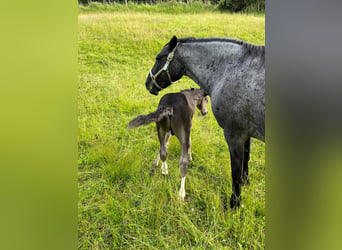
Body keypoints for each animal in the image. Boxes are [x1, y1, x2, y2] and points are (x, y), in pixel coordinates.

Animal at [144, 34, 264, 207]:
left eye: (159, 57)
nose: (147, 83)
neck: (231, 71)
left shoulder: (234, 135)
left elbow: (235, 172)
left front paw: (234, 204)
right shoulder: (246, 133)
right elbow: (246, 160)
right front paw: (246, 183)